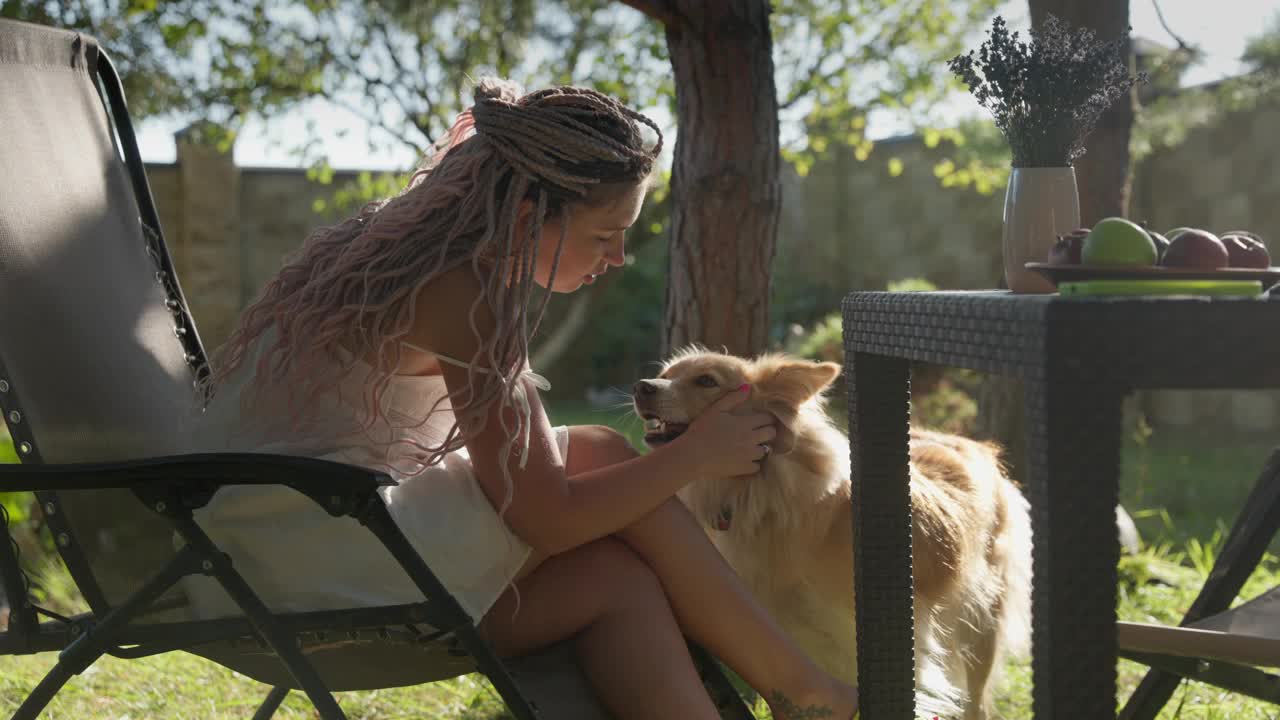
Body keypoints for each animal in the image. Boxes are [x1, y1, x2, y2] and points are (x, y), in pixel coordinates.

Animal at [634, 348, 1034, 717]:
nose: (642, 387)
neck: (760, 492)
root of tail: (976, 445)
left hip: (980, 626)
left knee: (976, 701)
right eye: (666, 375)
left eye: (706, 381)